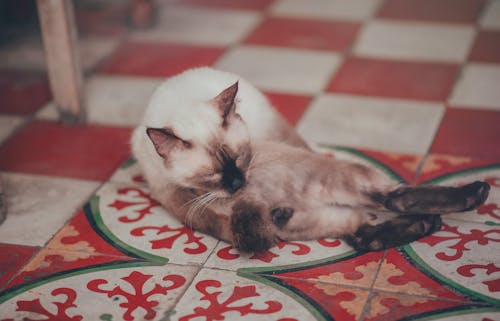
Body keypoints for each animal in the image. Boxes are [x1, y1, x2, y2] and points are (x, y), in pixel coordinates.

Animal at [131, 67, 490, 251]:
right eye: (213, 174)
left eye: (241, 157)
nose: (238, 183)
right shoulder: (179, 197)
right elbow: (226, 224)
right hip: (323, 218)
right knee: (366, 230)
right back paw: (430, 220)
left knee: (392, 199)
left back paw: (475, 193)